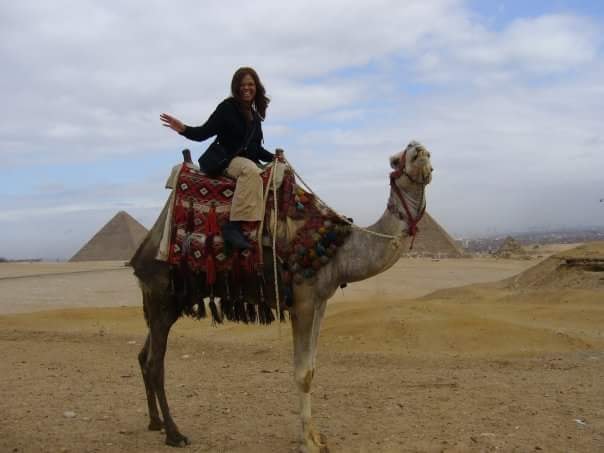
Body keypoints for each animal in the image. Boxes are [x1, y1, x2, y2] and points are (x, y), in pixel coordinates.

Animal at [132, 140, 434, 448]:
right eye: (396, 160)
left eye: (422, 154)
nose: (418, 147)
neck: (338, 249)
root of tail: (146, 247)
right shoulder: (303, 300)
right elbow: (303, 374)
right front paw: (308, 442)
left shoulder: (320, 303)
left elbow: (312, 368)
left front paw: (316, 435)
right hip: (161, 293)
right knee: (155, 363)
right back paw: (174, 433)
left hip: (170, 299)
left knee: (144, 356)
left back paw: (155, 422)